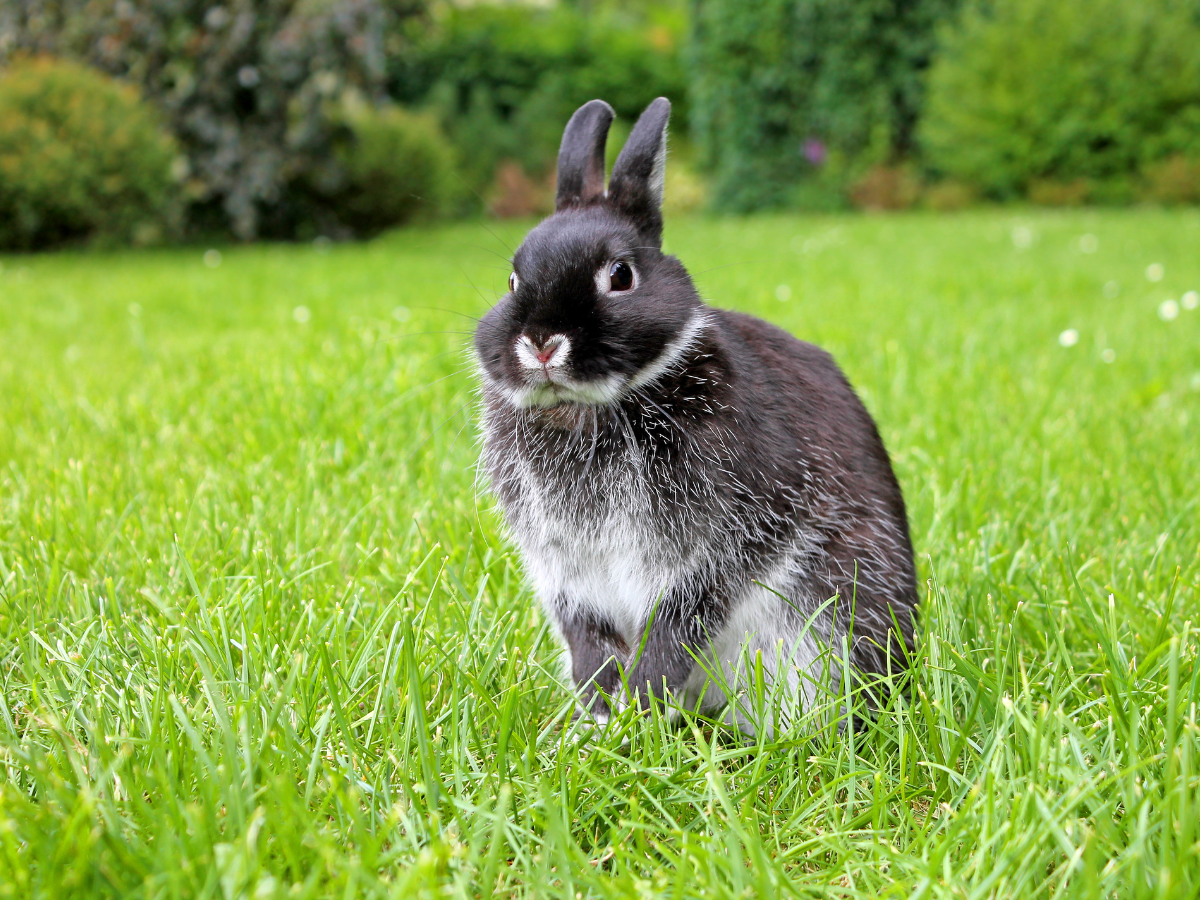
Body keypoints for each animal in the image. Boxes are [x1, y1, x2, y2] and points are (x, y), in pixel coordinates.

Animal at [472, 97, 912, 734]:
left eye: (621, 275)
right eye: (511, 279)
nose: (542, 341)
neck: (589, 410)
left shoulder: (716, 548)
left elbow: (674, 629)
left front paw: (636, 709)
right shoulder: (568, 572)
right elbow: (590, 640)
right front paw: (602, 716)